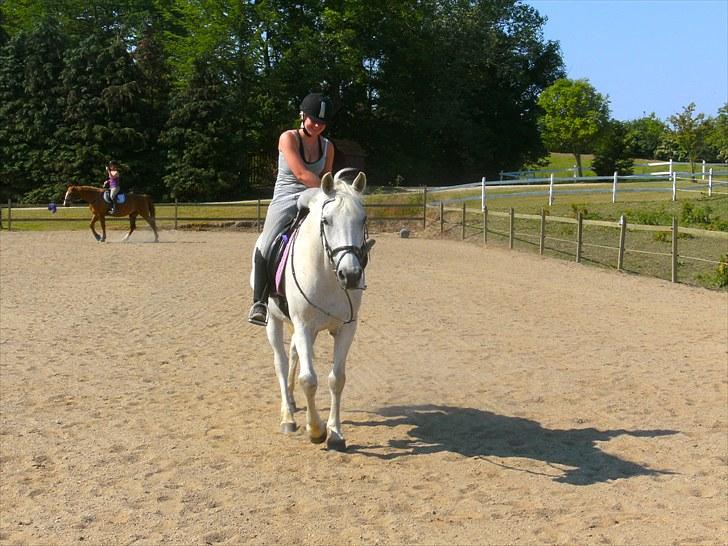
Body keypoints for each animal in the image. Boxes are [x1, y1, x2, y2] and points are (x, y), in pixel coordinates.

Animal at [252, 171, 376, 450]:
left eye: (362, 219)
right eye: (326, 221)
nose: (351, 275)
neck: (327, 273)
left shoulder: (346, 329)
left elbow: (336, 379)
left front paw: (336, 432)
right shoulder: (304, 327)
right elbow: (308, 380)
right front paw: (316, 430)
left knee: (292, 355)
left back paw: (292, 402)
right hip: (273, 322)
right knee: (280, 361)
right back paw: (287, 416)